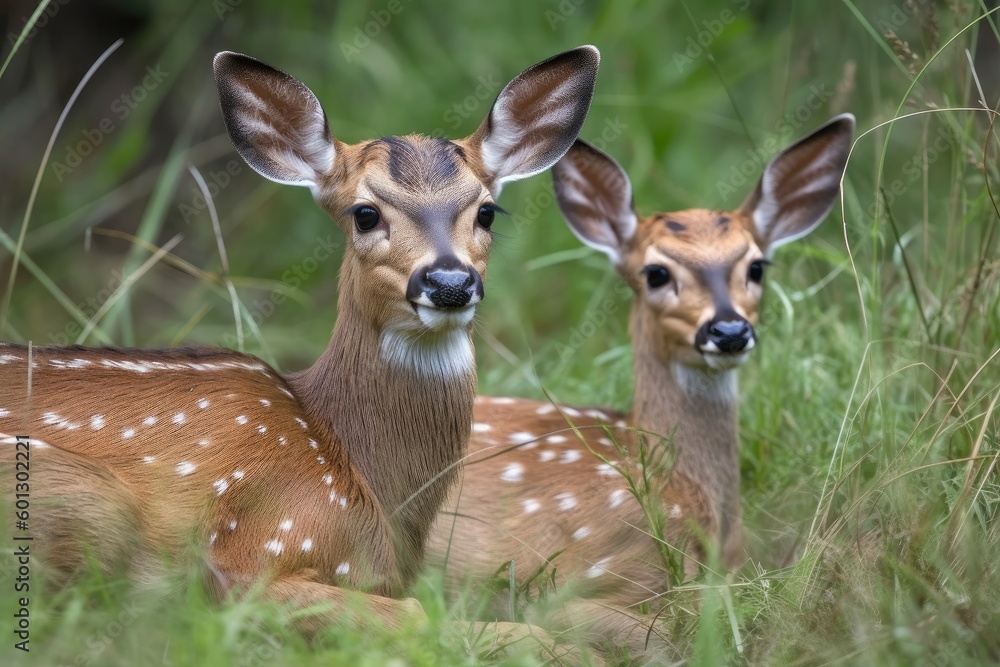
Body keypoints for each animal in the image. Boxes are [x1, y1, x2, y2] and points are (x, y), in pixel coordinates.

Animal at [0, 44, 600, 648]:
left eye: (486, 211)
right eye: (365, 214)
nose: (449, 282)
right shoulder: (255, 549)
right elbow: (418, 617)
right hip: (80, 497)